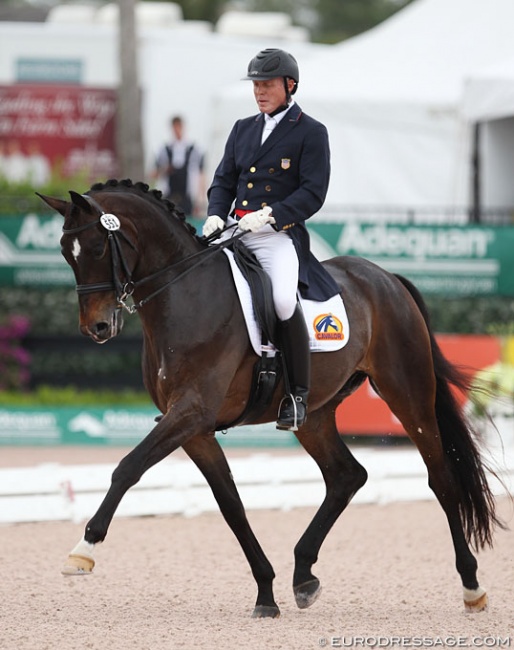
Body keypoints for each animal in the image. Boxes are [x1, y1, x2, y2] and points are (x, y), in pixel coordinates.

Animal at [40, 180, 500, 616]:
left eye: (98, 247)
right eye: (66, 252)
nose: (97, 328)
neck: (185, 295)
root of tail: (385, 278)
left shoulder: (191, 412)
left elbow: (128, 467)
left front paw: (83, 551)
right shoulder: (194, 428)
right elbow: (231, 505)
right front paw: (266, 592)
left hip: (408, 394)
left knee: (440, 479)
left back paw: (472, 588)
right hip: (314, 415)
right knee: (346, 475)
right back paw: (304, 577)